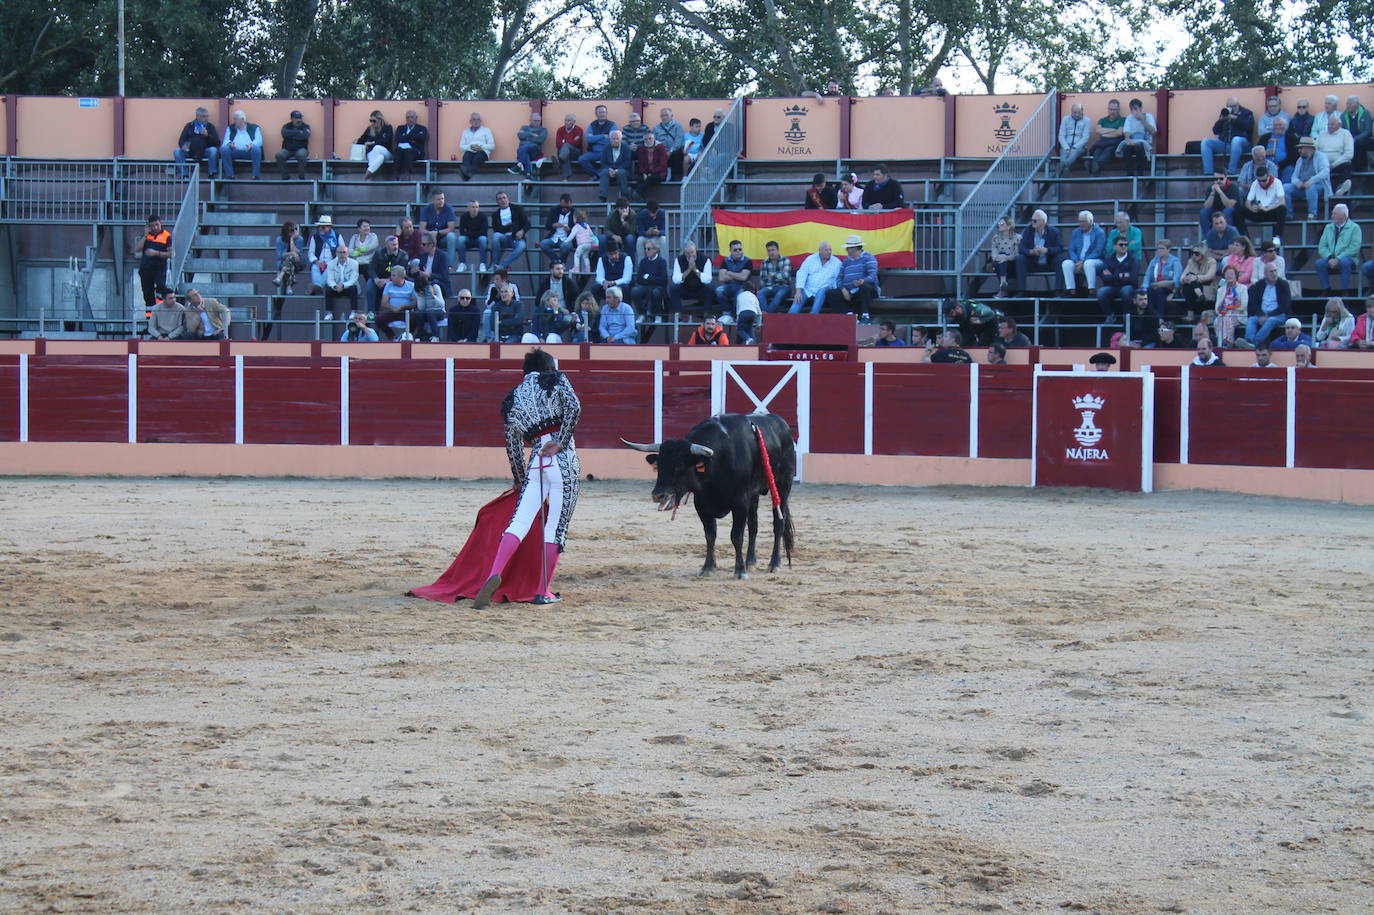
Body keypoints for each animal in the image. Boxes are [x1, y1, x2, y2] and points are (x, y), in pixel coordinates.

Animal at [623, 409, 796, 574]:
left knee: (778, 523)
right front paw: (708, 567)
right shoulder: (701, 503)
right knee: (753, 525)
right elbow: (710, 535)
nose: (658, 495)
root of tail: (783, 425)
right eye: (659, 465)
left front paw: (739, 571)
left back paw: (774, 564)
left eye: (679, 465)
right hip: (754, 493)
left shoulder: (739, 502)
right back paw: (750, 562)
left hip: (783, 484)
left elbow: (736, 536)